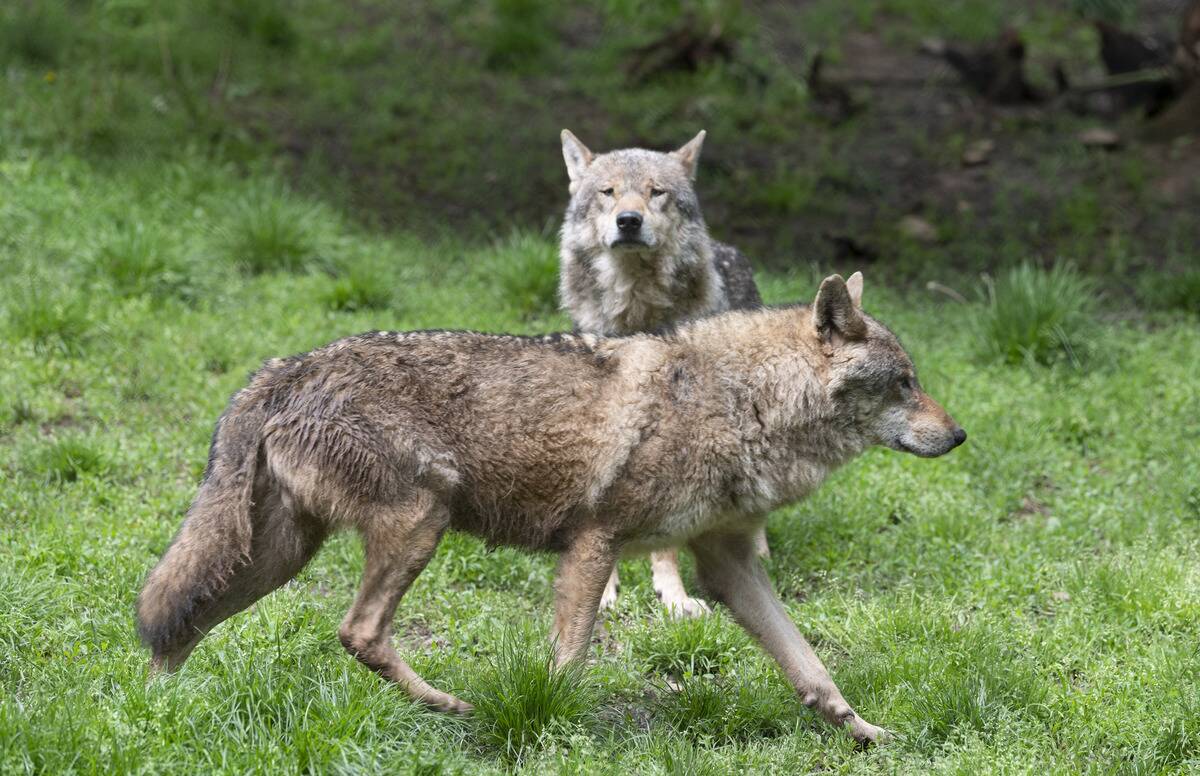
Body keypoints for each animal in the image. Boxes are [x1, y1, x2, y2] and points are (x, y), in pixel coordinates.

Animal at [136, 272, 965, 745]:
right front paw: (545, 724)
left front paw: (865, 732)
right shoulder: (596, 541)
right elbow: (568, 665)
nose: (958, 435)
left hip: (278, 554)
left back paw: (157, 715)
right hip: (418, 525)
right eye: (903, 383)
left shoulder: (727, 566)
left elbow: (812, 667)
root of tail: (284, 368)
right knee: (356, 631)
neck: (744, 401)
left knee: (177, 619)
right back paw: (453, 706)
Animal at [558, 128, 765, 617]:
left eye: (657, 192)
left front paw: (675, 596)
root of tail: (730, 250)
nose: (629, 221)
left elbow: (668, 544)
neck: (635, 311)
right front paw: (604, 593)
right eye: (608, 192)